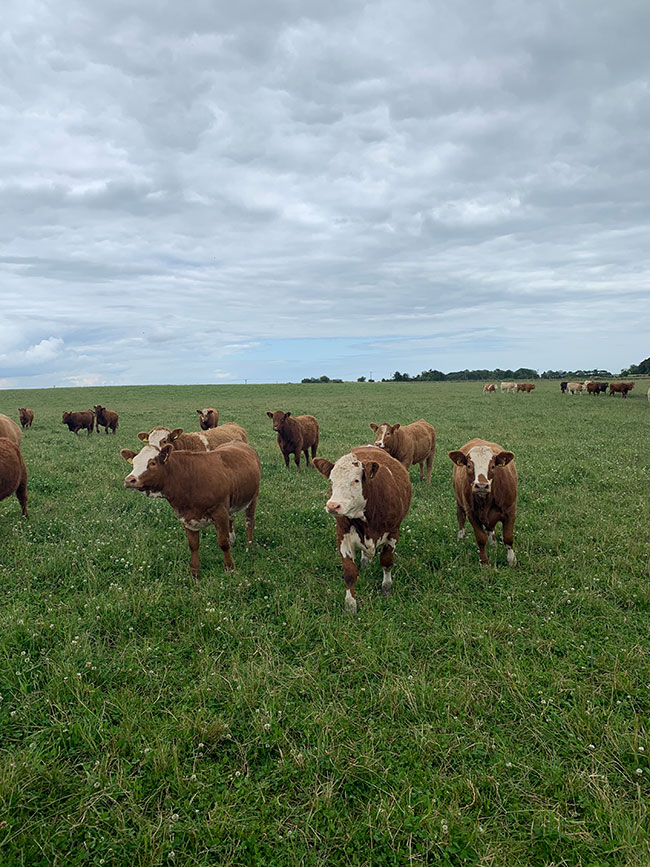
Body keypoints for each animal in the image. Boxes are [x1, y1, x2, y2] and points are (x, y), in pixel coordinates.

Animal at [121, 440, 260, 576]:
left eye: (152, 463)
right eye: (134, 463)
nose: (129, 480)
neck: (189, 479)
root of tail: (237, 442)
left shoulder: (219, 512)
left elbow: (223, 543)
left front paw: (229, 568)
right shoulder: (186, 517)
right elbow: (193, 545)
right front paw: (195, 572)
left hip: (253, 497)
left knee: (249, 522)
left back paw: (249, 547)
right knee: (232, 518)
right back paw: (233, 539)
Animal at [312, 444, 410, 612]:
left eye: (356, 480)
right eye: (331, 480)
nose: (333, 506)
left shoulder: (393, 533)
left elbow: (386, 562)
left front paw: (387, 588)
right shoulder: (343, 535)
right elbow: (350, 572)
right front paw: (350, 605)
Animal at [448, 438, 520, 568]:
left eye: (492, 466)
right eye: (469, 466)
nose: (481, 486)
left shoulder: (511, 511)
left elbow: (508, 538)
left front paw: (512, 561)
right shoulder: (472, 514)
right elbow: (481, 539)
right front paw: (485, 562)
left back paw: (493, 543)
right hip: (459, 501)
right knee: (461, 517)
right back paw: (461, 536)